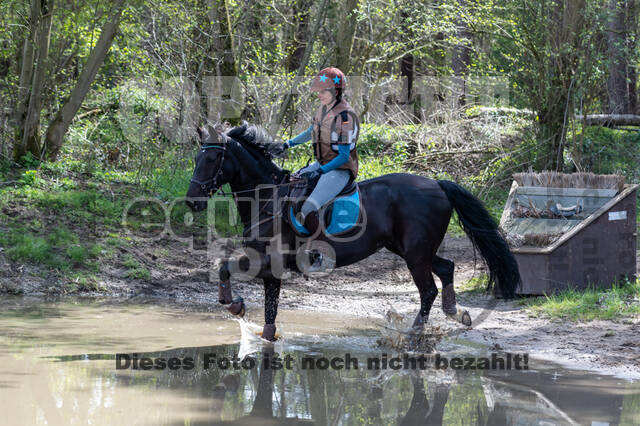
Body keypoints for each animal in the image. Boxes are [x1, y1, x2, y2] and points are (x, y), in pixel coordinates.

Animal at [186, 122, 520, 340]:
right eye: (197, 157)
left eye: (213, 158)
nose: (191, 201)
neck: (267, 197)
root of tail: (437, 184)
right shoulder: (268, 266)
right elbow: (267, 312)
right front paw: (244, 313)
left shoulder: (269, 261)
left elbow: (225, 267)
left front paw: (234, 305)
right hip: (409, 249)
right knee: (447, 268)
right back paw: (455, 312)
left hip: (415, 253)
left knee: (428, 289)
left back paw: (415, 332)